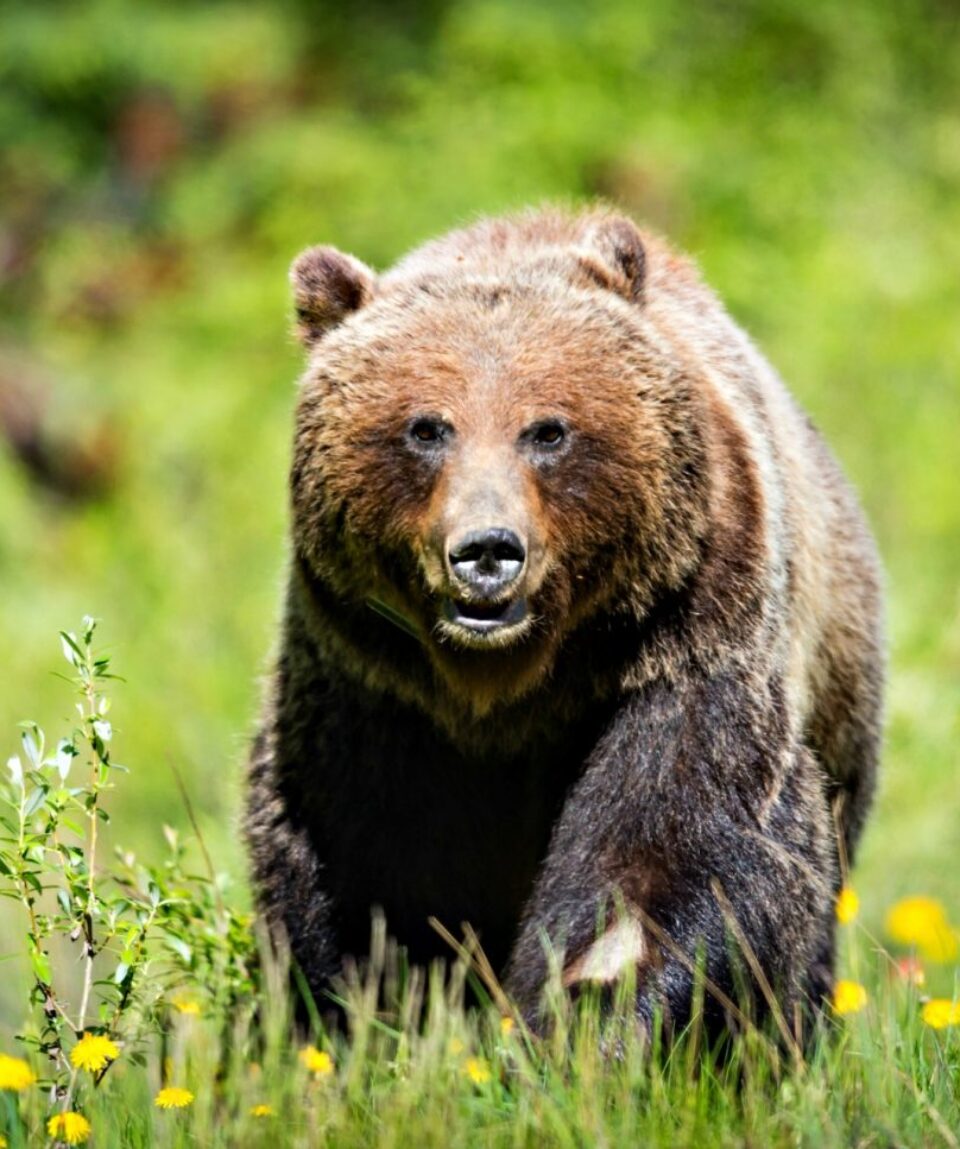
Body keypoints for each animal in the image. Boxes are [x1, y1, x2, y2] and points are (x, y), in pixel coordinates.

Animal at [248, 211, 886, 1038]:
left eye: (548, 430)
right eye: (427, 428)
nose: (487, 551)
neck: (502, 686)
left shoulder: (685, 642)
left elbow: (676, 853)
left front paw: (592, 1016)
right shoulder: (371, 681)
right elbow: (358, 872)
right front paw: (362, 1016)